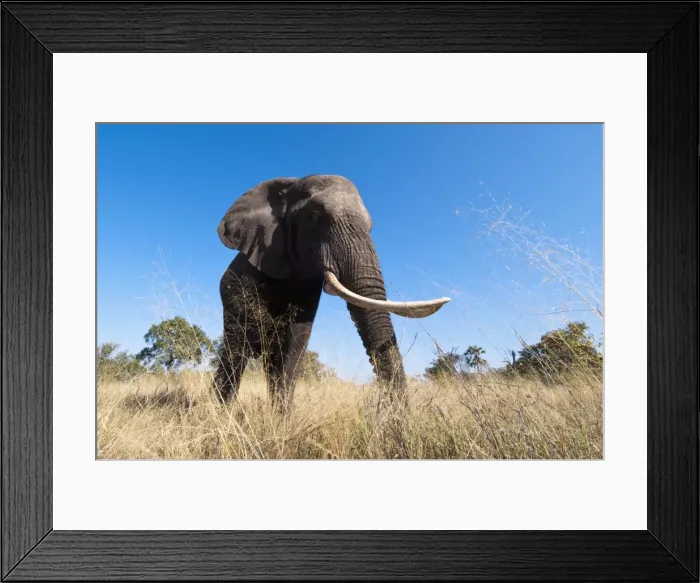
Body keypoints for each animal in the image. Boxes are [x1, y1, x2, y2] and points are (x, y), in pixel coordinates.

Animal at [213, 174, 450, 412]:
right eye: (314, 217)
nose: (395, 414)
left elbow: (295, 342)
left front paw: (280, 418)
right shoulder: (247, 280)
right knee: (235, 353)